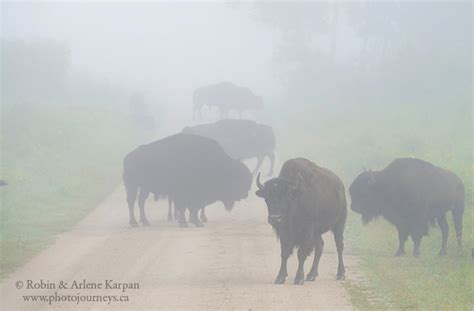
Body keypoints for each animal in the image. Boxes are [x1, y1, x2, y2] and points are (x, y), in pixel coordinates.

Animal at [124, 133, 254, 228]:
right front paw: (186, 223)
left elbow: (193, 208)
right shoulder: (185, 194)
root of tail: (128, 156)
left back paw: (145, 222)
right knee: (131, 202)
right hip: (132, 185)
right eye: (238, 177)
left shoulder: (195, 195)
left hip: (144, 187)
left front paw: (195, 222)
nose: (245, 194)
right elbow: (186, 207)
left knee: (141, 201)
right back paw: (134, 223)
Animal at [256, 158, 348, 286]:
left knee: (339, 246)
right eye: (267, 198)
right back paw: (311, 275)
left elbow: (301, 254)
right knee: (320, 247)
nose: (275, 218)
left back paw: (340, 274)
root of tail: (340, 186)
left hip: (339, 224)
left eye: (287, 196)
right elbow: (284, 253)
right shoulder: (285, 233)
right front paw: (280, 277)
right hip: (317, 232)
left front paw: (299, 278)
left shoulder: (307, 231)